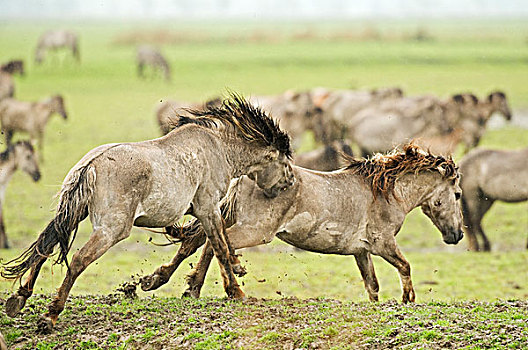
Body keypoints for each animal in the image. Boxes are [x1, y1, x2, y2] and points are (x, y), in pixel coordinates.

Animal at [2, 94, 294, 332]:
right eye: (284, 162)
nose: (290, 183)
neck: (219, 148)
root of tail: (91, 165)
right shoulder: (207, 207)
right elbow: (218, 245)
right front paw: (236, 290)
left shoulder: (206, 211)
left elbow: (205, 243)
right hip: (111, 230)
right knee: (77, 260)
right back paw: (49, 317)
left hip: (72, 214)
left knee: (44, 247)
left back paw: (19, 298)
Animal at [142, 145, 464, 304]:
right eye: (458, 194)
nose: (457, 235)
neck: (384, 192)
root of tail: (243, 176)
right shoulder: (382, 243)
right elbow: (405, 266)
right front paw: (408, 299)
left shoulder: (361, 251)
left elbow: (372, 285)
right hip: (255, 231)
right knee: (215, 245)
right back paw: (228, 289)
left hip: (227, 217)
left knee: (196, 242)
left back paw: (166, 283)